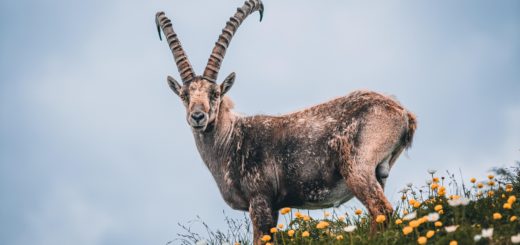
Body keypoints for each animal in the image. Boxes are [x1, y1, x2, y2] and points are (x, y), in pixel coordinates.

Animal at [155, 0, 418, 241]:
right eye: (184, 95)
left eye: (215, 93)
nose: (197, 116)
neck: (230, 141)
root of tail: (402, 113)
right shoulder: (274, 207)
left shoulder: (260, 199)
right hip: (379, 174)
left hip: (357, 167)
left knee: (381, 210)